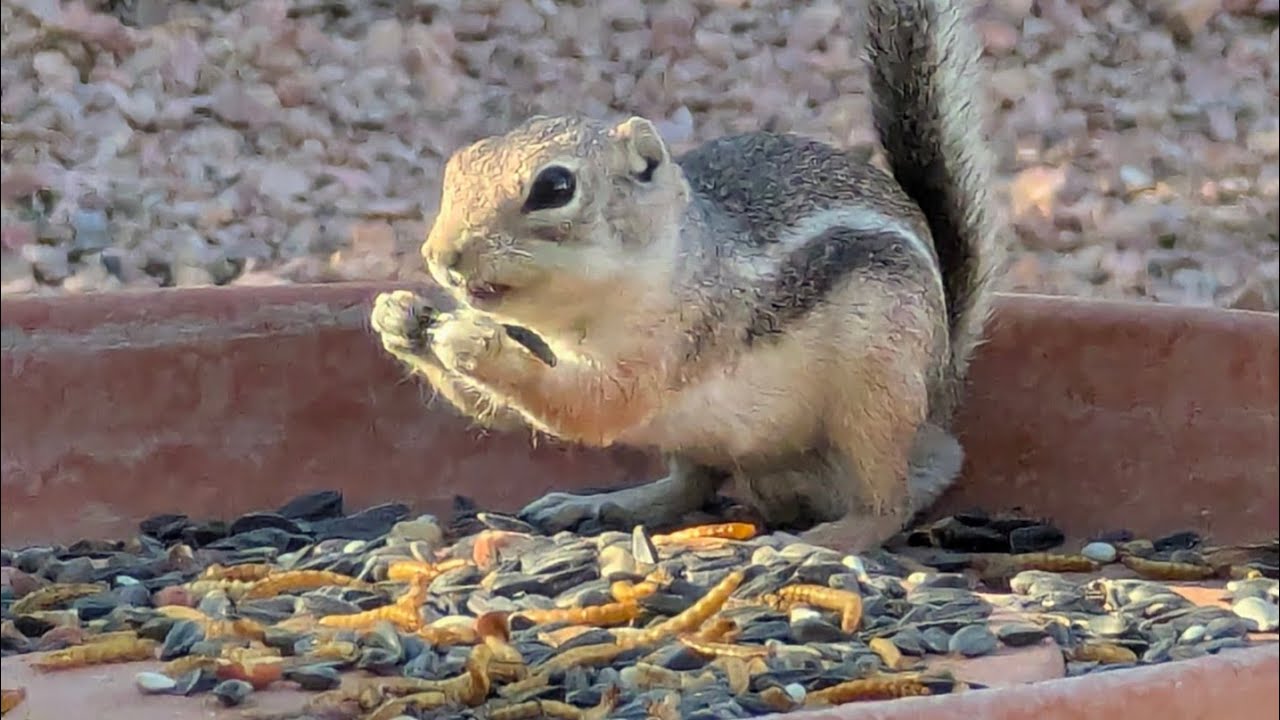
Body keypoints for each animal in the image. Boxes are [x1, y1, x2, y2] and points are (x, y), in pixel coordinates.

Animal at [370, 0, 1002, 553]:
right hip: (702, 437)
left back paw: (824, 539)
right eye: (456, 168)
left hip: (876, 398)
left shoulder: (670, 340)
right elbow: (503, 410)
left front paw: (470, 342)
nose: (441, 256)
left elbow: (591, 404)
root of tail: (942, 385)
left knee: (890, 499)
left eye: (555, 187)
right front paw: (400, 318)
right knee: (692, 484)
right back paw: (606, 503)